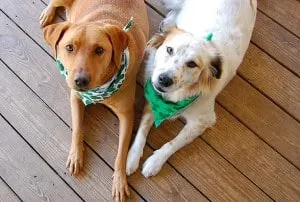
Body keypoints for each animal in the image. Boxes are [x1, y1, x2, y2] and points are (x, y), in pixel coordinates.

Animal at [39, 0, 148, 200]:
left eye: (99, 50)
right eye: (69, 47)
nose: (80, 81)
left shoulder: (127, 115)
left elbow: (121, 152)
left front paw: (119, 180)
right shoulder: (75, 97)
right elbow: (77, 129)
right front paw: (76, 156)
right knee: (54, 2)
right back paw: (47, 13)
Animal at [127, 0, 258, 177]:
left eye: (191, 64)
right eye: (169, 49)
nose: (164, 79)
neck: (177, 96)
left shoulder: (203, 120)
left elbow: (174, 143)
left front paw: (155, 162)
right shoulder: (154, 97)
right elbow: (142, 130)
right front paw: (132, 157)